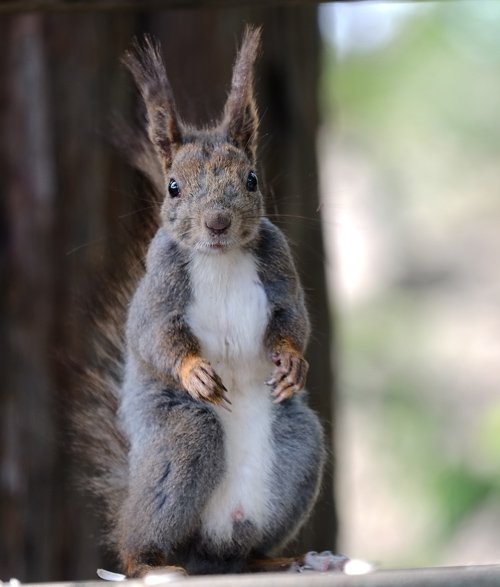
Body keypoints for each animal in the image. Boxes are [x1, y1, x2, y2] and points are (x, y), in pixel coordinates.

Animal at [73, 26, 324, 580]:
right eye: (173, 187)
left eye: (251, 179)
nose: (217, 223)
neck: (221, 258)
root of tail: (209, 547)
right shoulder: (159, 287)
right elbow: (154, 336)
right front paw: (194, 371)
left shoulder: (280, 272)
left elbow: (293, 318)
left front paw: (293, 361)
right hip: (182, 437)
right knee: (145, 530)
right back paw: (148, 563)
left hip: (299, 445)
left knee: (248, 549)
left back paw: (276, 559)